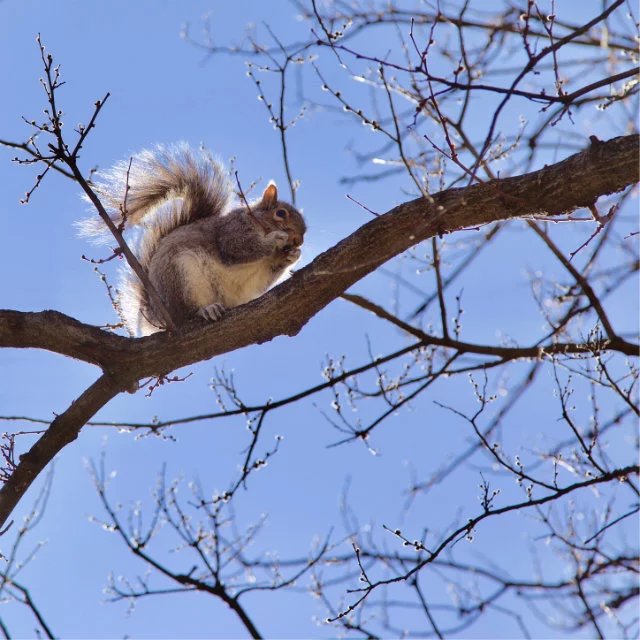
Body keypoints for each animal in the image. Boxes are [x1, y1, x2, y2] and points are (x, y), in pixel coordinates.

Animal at [81, 144, 306, 336]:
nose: (299, 240)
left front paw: (293, 255)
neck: (256, 222)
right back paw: (206, 310)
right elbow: (239, 249)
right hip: (181, 276)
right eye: (280, 213)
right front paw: (277, 237)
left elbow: (267, 273)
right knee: (188, 315)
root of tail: (157, 314)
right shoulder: (232, 230)